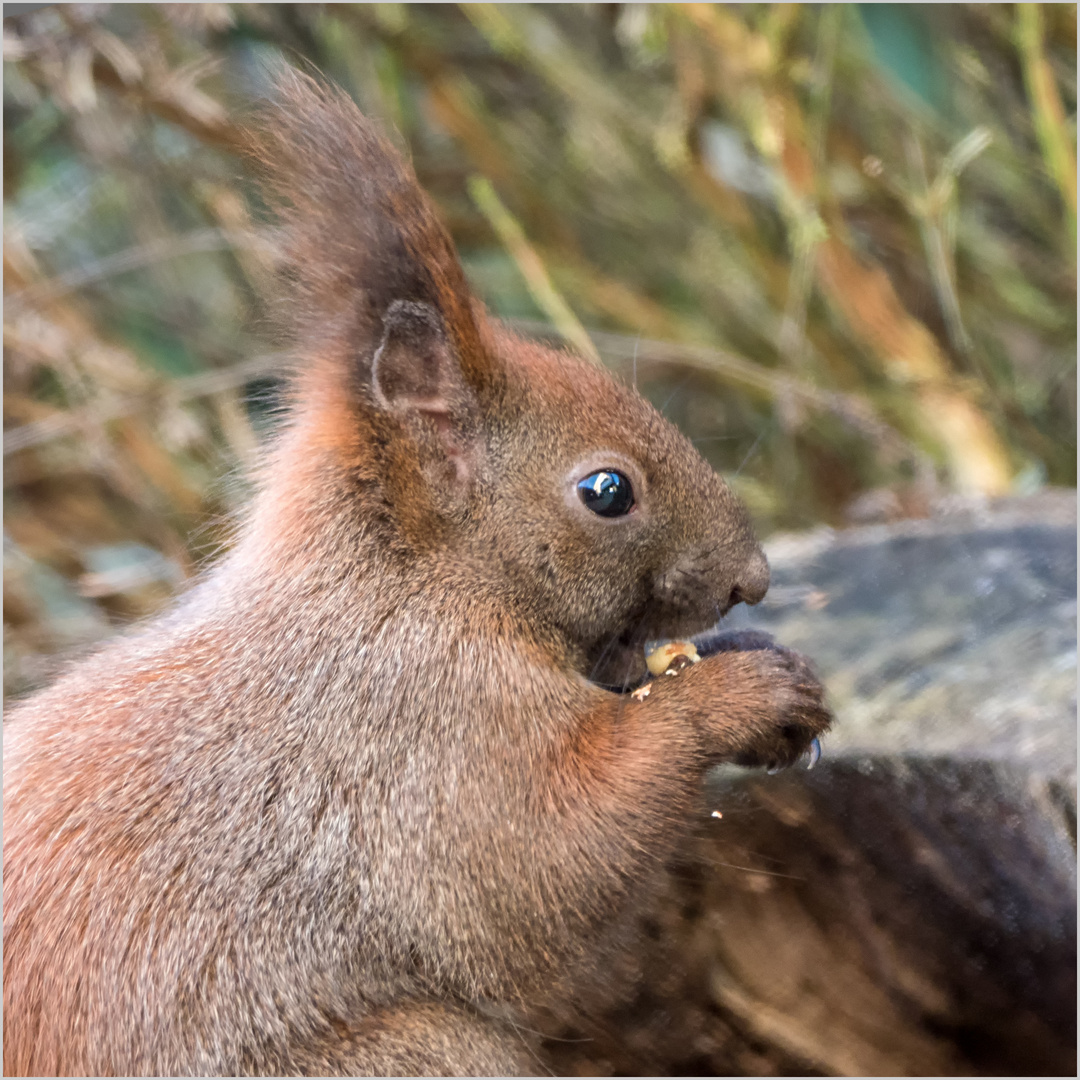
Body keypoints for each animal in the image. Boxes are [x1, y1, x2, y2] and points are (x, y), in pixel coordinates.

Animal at [4, 71, 829, 1075]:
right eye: (607, 491)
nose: (753, 579)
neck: (404, 591)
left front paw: (764, 661)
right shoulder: (421, 740)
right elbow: (542, 872)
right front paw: (739, 695)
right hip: (420, 1050)